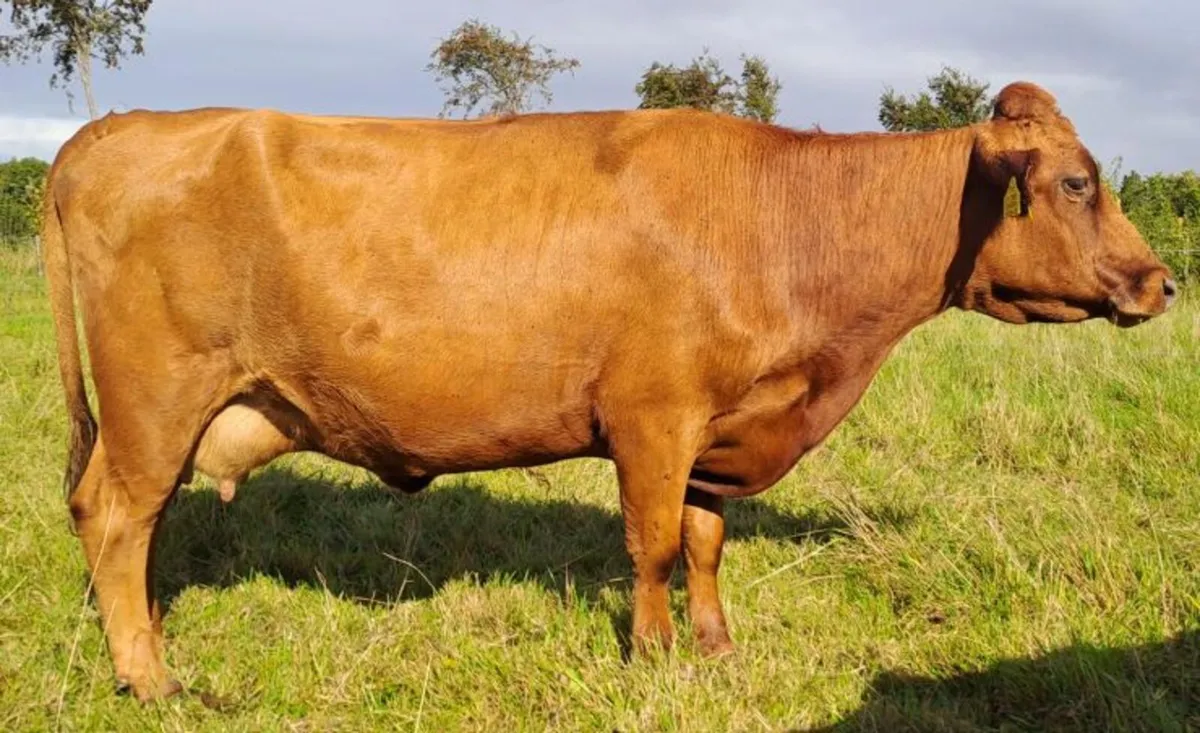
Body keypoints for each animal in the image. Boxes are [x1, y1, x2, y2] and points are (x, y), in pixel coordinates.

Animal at [42, 81, 1175, 701]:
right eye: (1077, 184)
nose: (1163, 280)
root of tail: (119, 128)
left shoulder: (718, 428)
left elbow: (708, 540)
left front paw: (715, 645)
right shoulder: (653, 418)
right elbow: (656, 543)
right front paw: (656, 653)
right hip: (155, 400)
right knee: (114, 516)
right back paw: (150, 674)